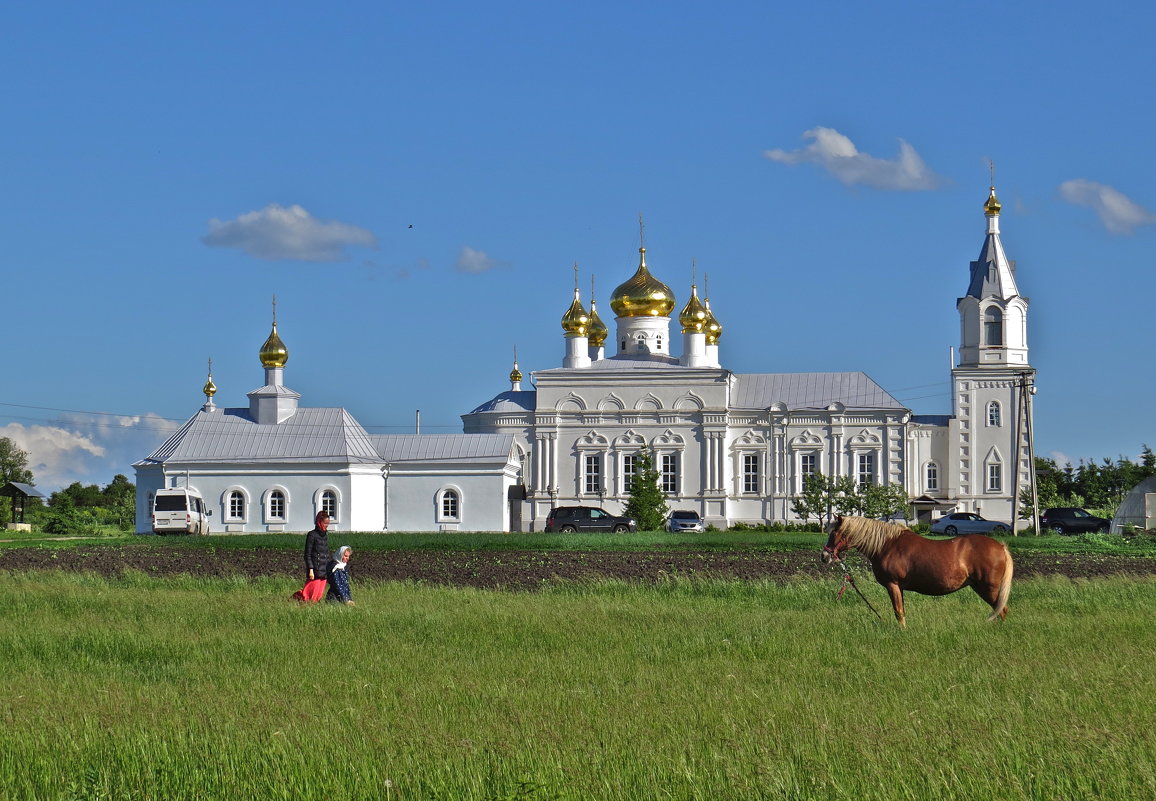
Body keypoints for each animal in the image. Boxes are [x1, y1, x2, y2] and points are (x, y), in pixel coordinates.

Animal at [823, 513, 1012, 624]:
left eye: (834, 533)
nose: (824, 556)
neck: (887, 545)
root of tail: (1000, 546)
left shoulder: (893, 585)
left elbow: (898, 612)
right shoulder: (899, 587)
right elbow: (902, 611)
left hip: (989, 588)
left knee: (1001, 610)